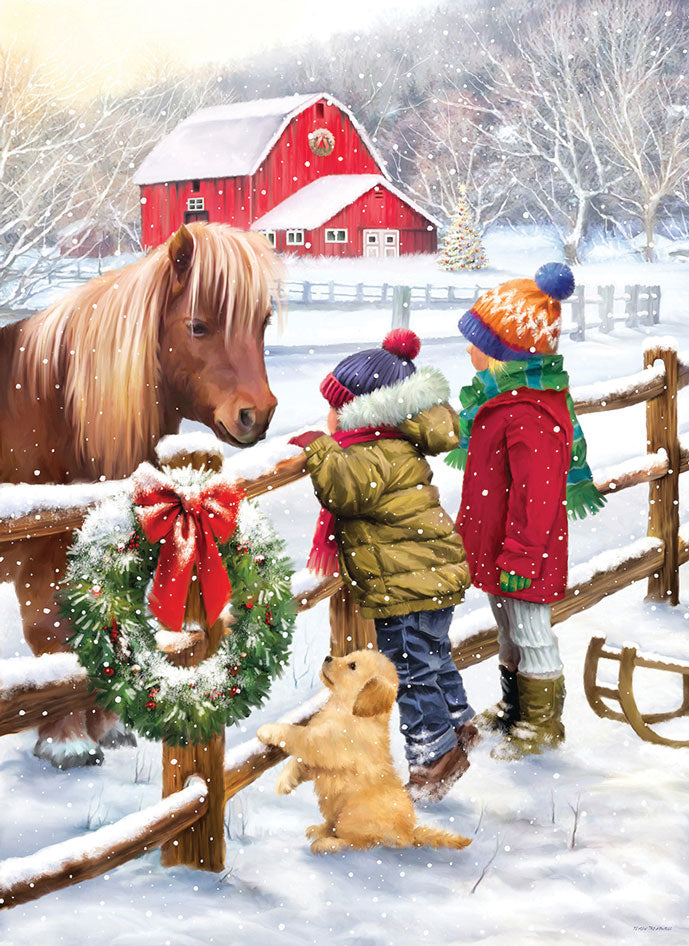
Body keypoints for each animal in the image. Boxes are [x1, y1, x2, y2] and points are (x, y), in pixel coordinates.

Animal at [0, 223, 283, 768]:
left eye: (262, 323)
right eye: (198, 326)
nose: (255, 414)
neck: (51, 404)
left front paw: (107, 728)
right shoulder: (39, 560)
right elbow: (53, 639)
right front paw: (67, 743)